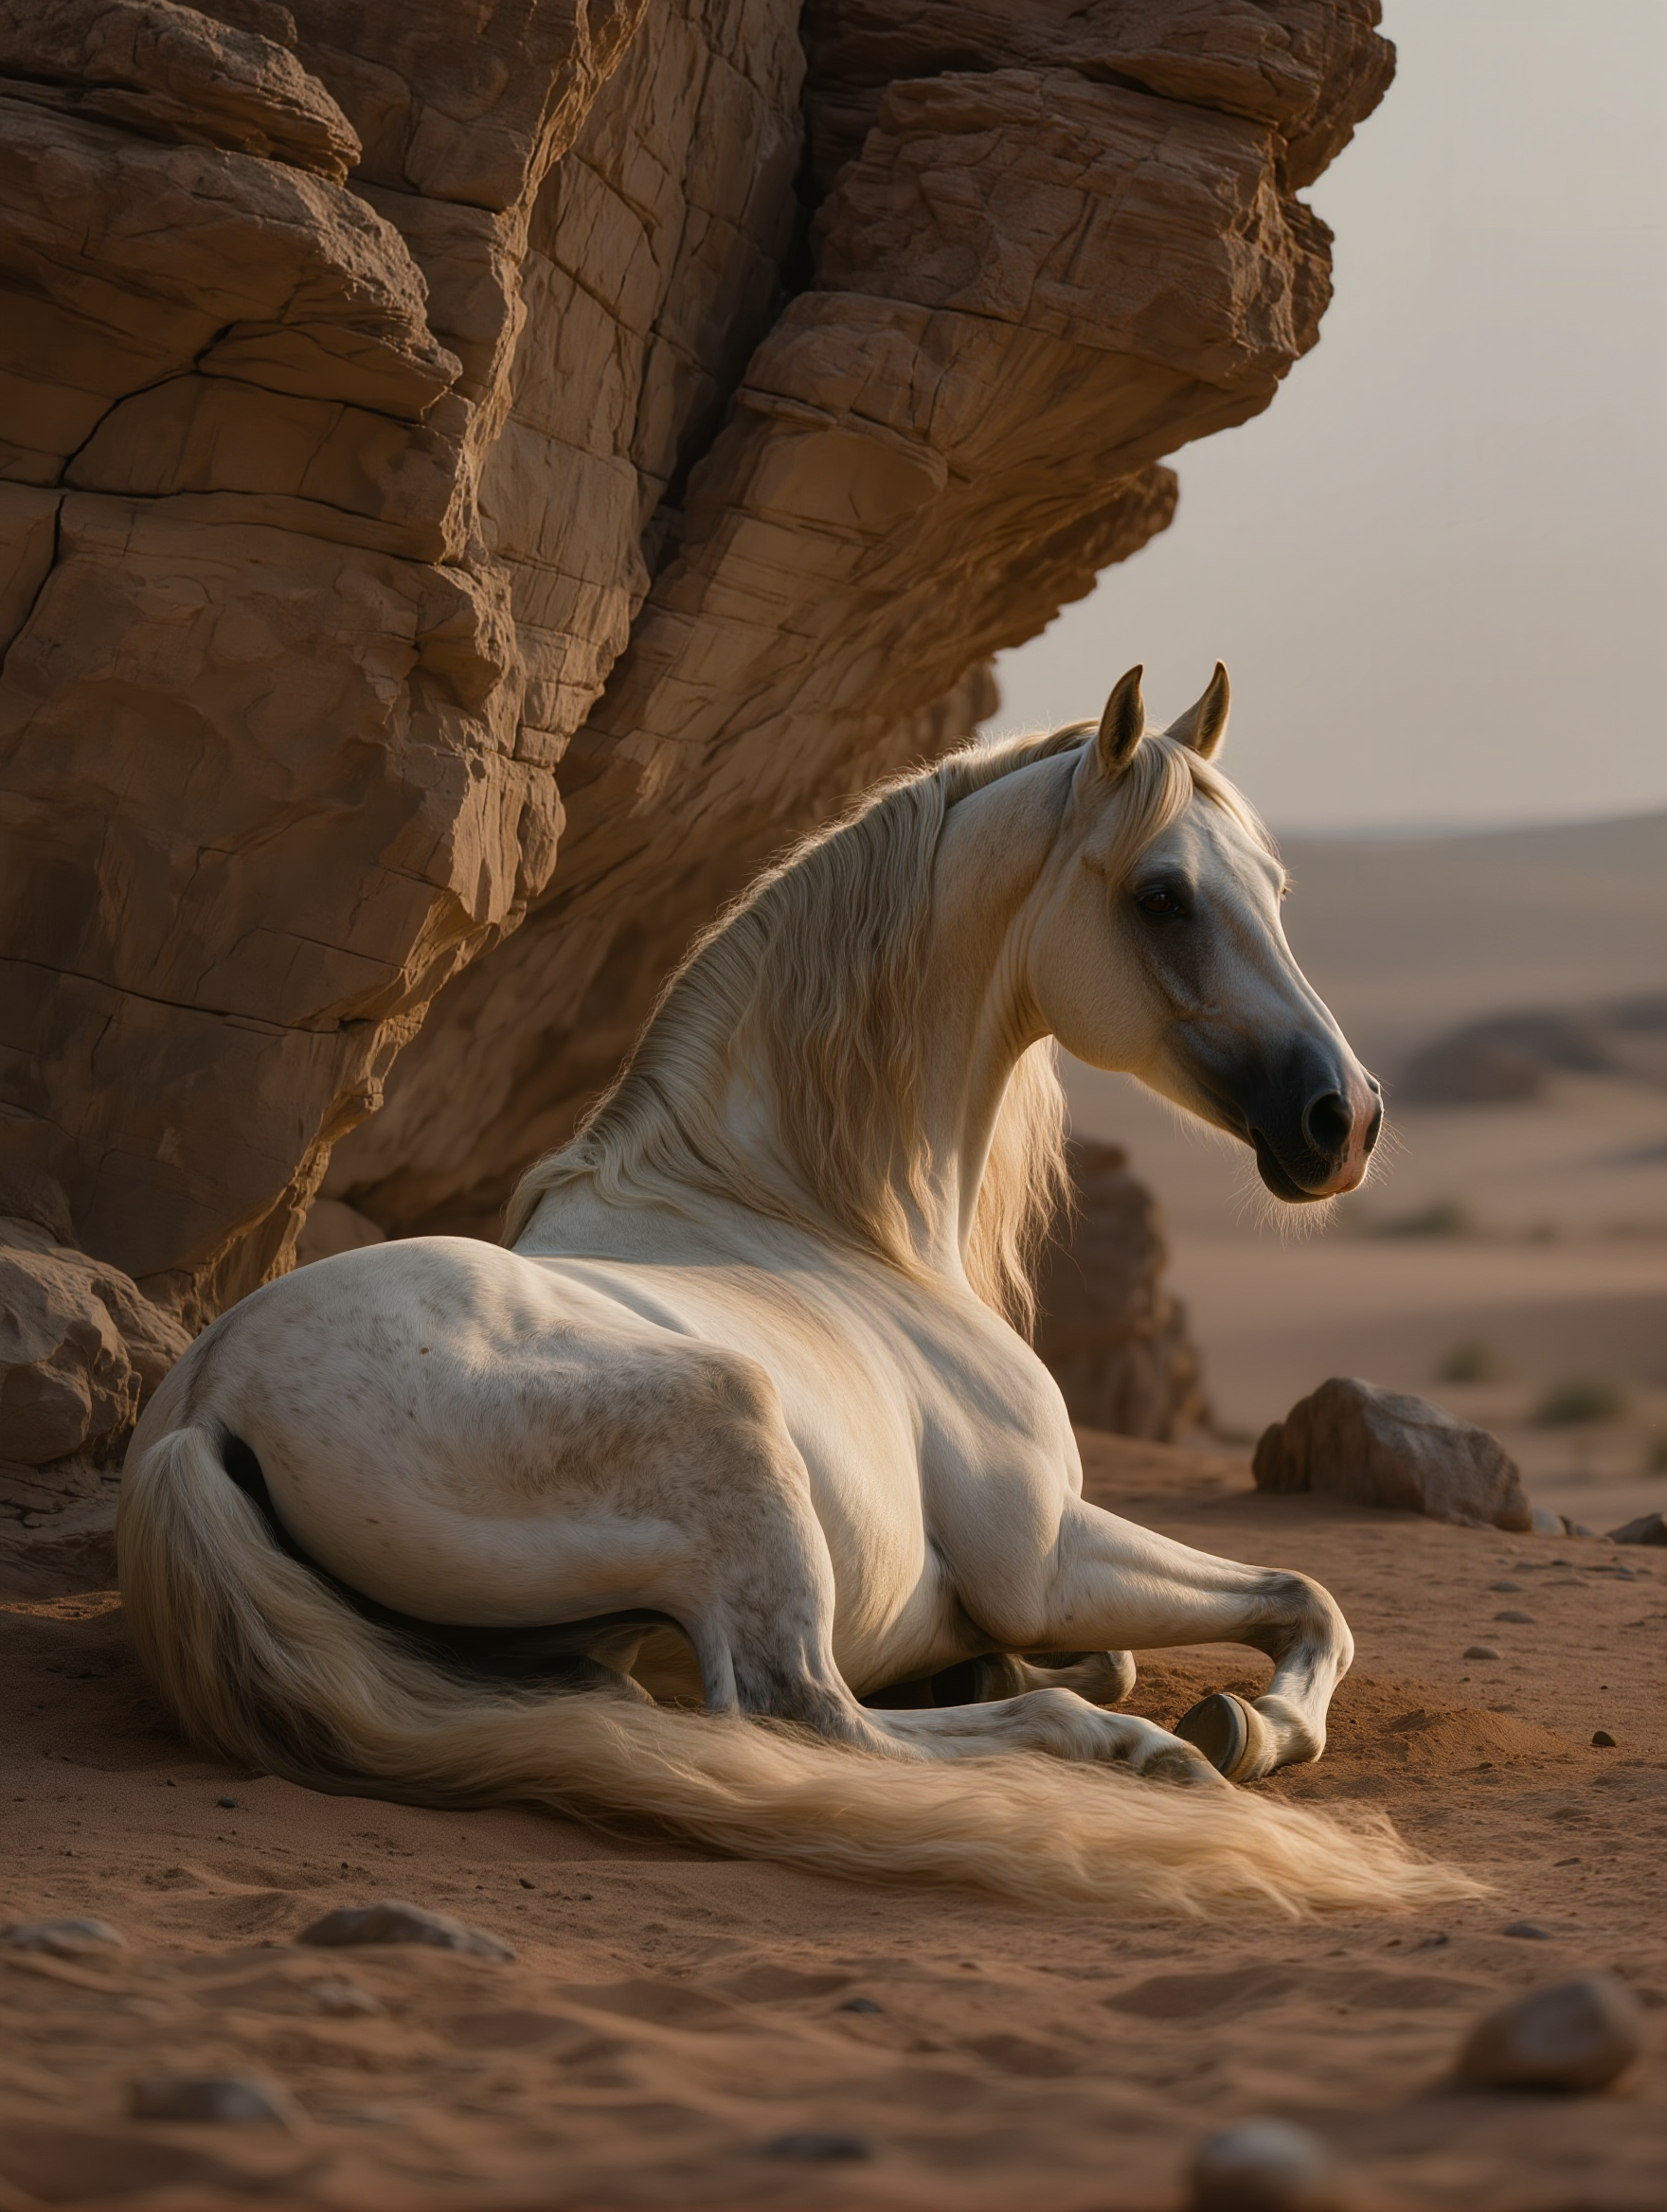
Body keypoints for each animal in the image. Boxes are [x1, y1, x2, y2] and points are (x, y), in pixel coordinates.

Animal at [119, 666, 1476, 1918]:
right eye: (1161, 896)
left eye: (1276, 891)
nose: (1340, 1118)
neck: (811, 1213)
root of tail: (208, 1400)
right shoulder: (1042, 1556)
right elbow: (1306, 1596)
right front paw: (1244, 1726)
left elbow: (1232, 1617)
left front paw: (1025, 1676)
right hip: (736, 1431)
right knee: (800, 1717)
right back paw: (1115, 1753)